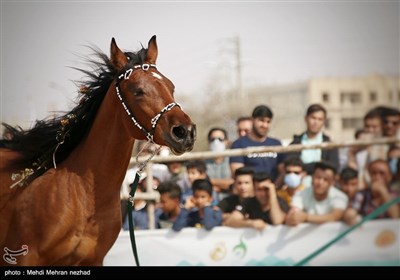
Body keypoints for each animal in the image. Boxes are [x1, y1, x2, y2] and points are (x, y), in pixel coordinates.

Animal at [0, 36, 195, 266]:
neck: (83, 197)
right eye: (138, 91)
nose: (185, 132)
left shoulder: (93, 260)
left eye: (170, 87)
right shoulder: (25, 257)